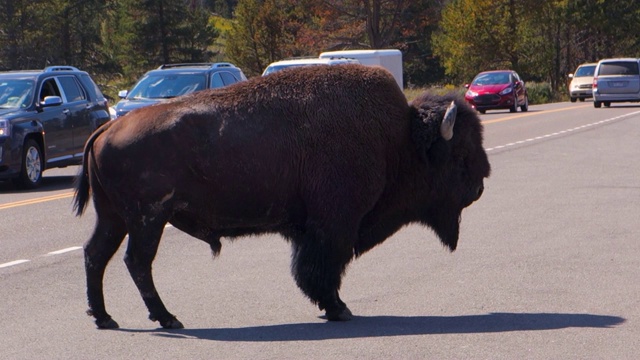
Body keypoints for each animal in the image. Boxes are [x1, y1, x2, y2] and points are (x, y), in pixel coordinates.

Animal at [74, 64, 490, 330]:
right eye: (460, 154)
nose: (482, 183)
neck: (400, 138)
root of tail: (107, 128)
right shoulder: (335, 224)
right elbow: (323, 267)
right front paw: (338, 309)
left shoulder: (312, 228)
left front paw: (331, 307)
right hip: (148, 219)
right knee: (137, 262)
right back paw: (167, 318)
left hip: (114, 218)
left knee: (96, 254)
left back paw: (105, 318)